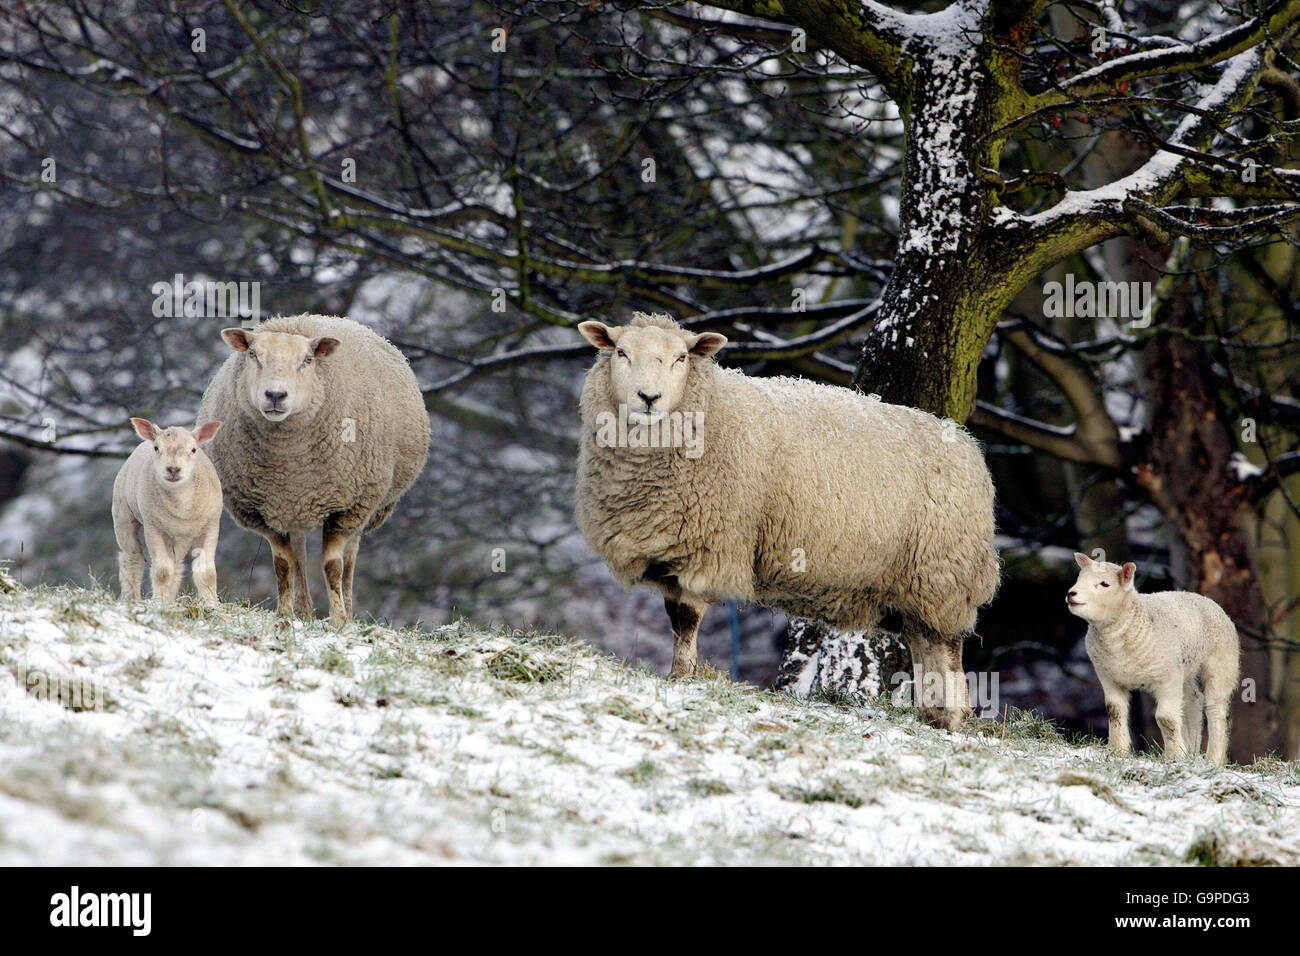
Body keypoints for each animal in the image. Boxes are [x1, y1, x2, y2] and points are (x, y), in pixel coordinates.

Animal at [113, 418, 224, 606]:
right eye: (157, 448)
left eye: (193, 449)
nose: (173, 469)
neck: (181, 504)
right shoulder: (154, 528)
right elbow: (162, 571)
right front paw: (159, 602)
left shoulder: (210, 526)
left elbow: (207, 573)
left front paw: (211, 604)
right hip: (123, 514)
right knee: (132, 557)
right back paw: (132, 599)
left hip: (180, 537)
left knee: (177, 565)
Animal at [197, 316, 428, 629]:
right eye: (253, 354)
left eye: (307, 360)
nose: (275, 395)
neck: (290, 464)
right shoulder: (264, 510)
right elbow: (284, 564)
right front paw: (284, 615)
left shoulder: (346, 508)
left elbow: (333, 566)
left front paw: (339, 620)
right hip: (294, 507)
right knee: (299, 554)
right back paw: (304, 612)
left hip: (365, 504)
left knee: (350, 558)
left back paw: (348, 609)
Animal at [574, 310, 998, 728]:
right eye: (621, 352)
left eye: (681, 358)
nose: (649, 398)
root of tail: (969, 447)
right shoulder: (671, 547)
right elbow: (675, 618)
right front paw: (678, 673)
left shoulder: (709, 547)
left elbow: (687, 619)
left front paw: (681, 677)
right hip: (915, 584)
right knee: (923, 641)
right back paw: (933, 714)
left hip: (943, 572)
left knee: (947, 648)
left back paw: (951, 716)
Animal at [1066, 554, 1237, 764]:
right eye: (1079, 578)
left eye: (1104, 584)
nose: (1071, 594)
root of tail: (1208, 601)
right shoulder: (1108, 676)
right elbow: (1114, 711)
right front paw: (1117, 751)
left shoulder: (1167, 679)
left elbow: (1166, 718)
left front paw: (1174, 756)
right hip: (1183, 669)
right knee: (1193, 699)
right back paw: (1191, 752)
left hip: (1221, 664)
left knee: (1216, 709)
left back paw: (1214, 759)